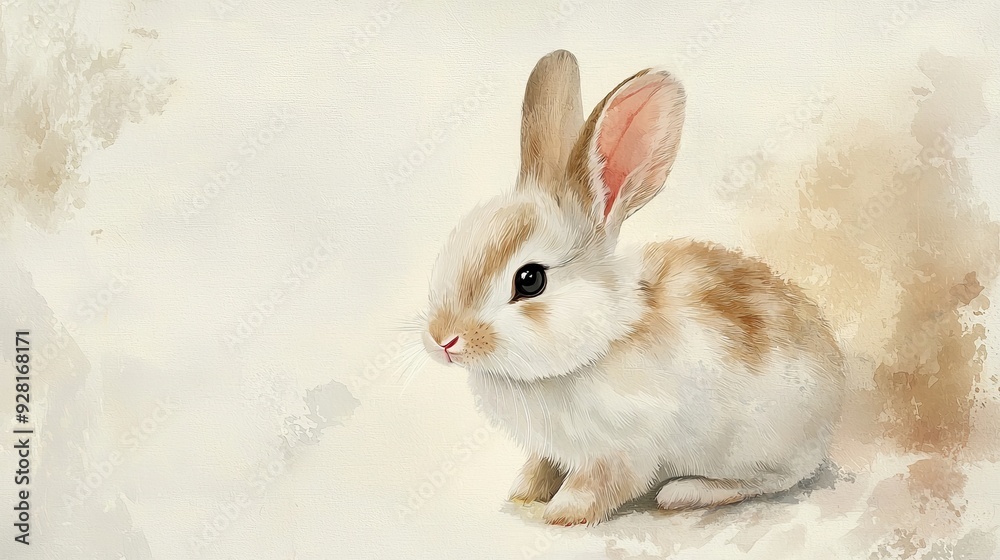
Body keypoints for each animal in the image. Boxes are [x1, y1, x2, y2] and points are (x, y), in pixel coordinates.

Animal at [421, 49, 845, 526]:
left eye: (530, 280)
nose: (442, 339)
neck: (599, 340)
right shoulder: (552, 449)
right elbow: (541, 466)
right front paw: (523, 493)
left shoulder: (624, 449)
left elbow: (596, 486)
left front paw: (559, 514)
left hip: (759, 444)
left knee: (769, 480)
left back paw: (685, 492)